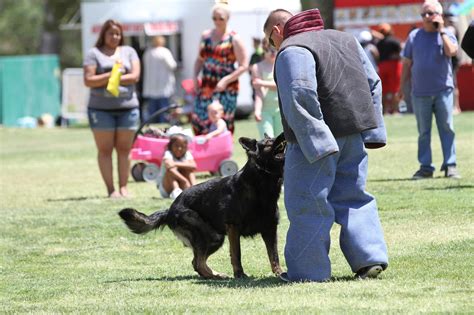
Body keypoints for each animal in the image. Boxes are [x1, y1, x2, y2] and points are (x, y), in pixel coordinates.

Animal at [118, 133, 286, 278]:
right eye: (269, 142)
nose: (284, 134)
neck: (260, 183)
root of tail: (170, 209)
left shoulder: (270, 230)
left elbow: (274, 255)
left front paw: (279, 273)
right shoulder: (233, 228)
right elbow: (236, 254)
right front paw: (239, 274)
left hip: (214, 238)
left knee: (196, 263)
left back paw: (215, 275)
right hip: (213, 237)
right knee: (198, 263)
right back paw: (217, 276)